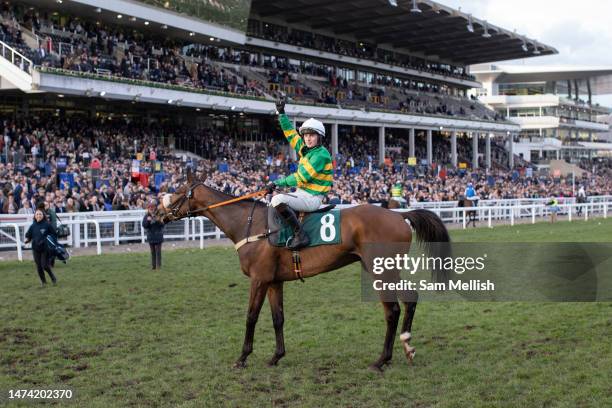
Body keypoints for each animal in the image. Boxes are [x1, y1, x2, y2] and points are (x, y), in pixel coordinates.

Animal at [158, 171, 450, 372]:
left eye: (179, 191)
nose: (156, 212)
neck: (252, 226)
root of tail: (399, 215)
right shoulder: (274, 281)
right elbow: (278, 318)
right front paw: (276, 356)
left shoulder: (259, 279)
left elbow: (251, 317)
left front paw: (242, 358)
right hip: (386, 269)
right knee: (410, 299)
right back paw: (407, 345)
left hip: (380, 272)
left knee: (392, 310)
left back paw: (381, 360)